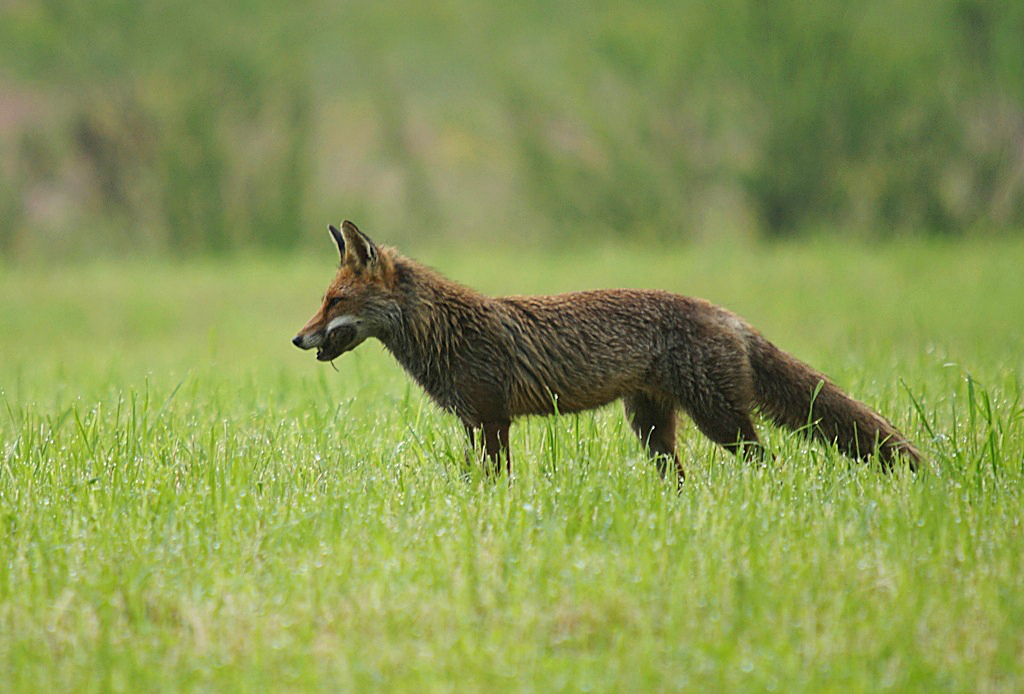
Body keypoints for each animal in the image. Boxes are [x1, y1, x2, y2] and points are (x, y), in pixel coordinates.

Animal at [294, 220, 921, 481]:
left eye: (334, 301)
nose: (298, 339)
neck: (445, 331)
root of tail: (726, 313)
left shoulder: (493, 419)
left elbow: (496, 483)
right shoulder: (474, 422)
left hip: (720, 421)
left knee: (769, 462)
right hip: (652, 430)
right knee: (682, 478)